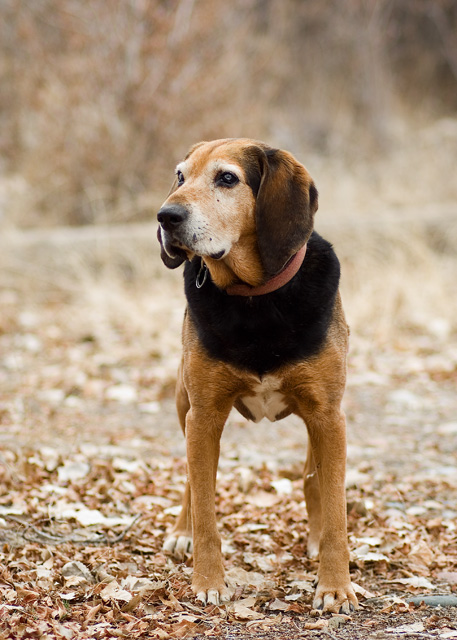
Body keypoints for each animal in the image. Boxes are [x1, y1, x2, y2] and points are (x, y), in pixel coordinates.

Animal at [157, 140, 360, 616]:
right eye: (180, 176)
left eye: (227, 178)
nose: (165, 217)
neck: (256, 300)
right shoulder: (204, 415)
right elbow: (206, 506)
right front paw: (208, 581)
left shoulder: (328, 414)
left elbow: (335, 509)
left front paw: (335, 586)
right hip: (183, 401)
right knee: (191, 482)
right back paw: (182, 531)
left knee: (312, 476)